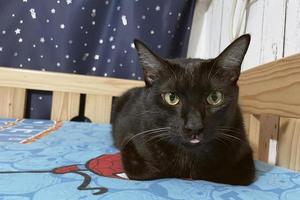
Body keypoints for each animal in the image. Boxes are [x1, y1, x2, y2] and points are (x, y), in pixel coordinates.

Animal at [111, 33, 254, 185]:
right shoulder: (130, 142)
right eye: (171, 98)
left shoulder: (244, 157)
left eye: (215, 97)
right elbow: (150, 171)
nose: (194, 126)